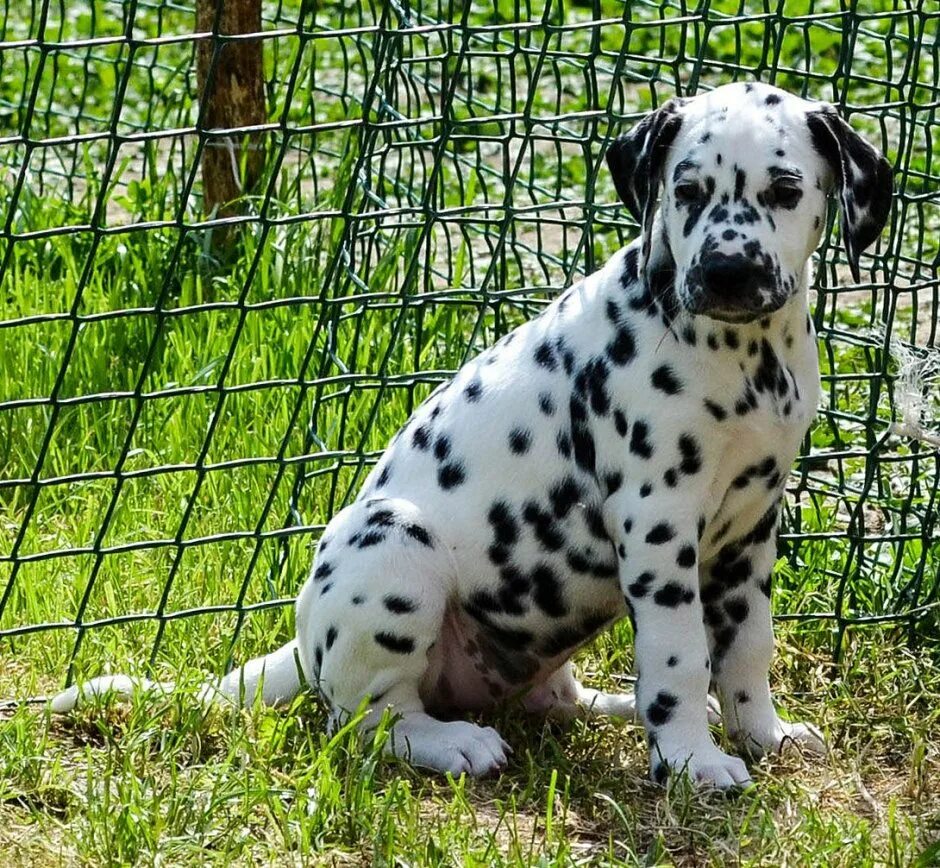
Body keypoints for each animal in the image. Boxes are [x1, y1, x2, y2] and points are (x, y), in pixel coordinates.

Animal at [55, 85, 892, 792]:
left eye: (785, 191)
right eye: (686, 192)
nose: (724, 272)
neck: (748, 356)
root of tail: (303, 648)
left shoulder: (751, 526)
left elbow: (747, 647)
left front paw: (763, 734)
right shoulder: (660, 523)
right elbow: (681, 655)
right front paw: (690, 761)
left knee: (551, 700)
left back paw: (613, 707)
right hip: (394, 545)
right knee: (365, 719)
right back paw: (449, 742)